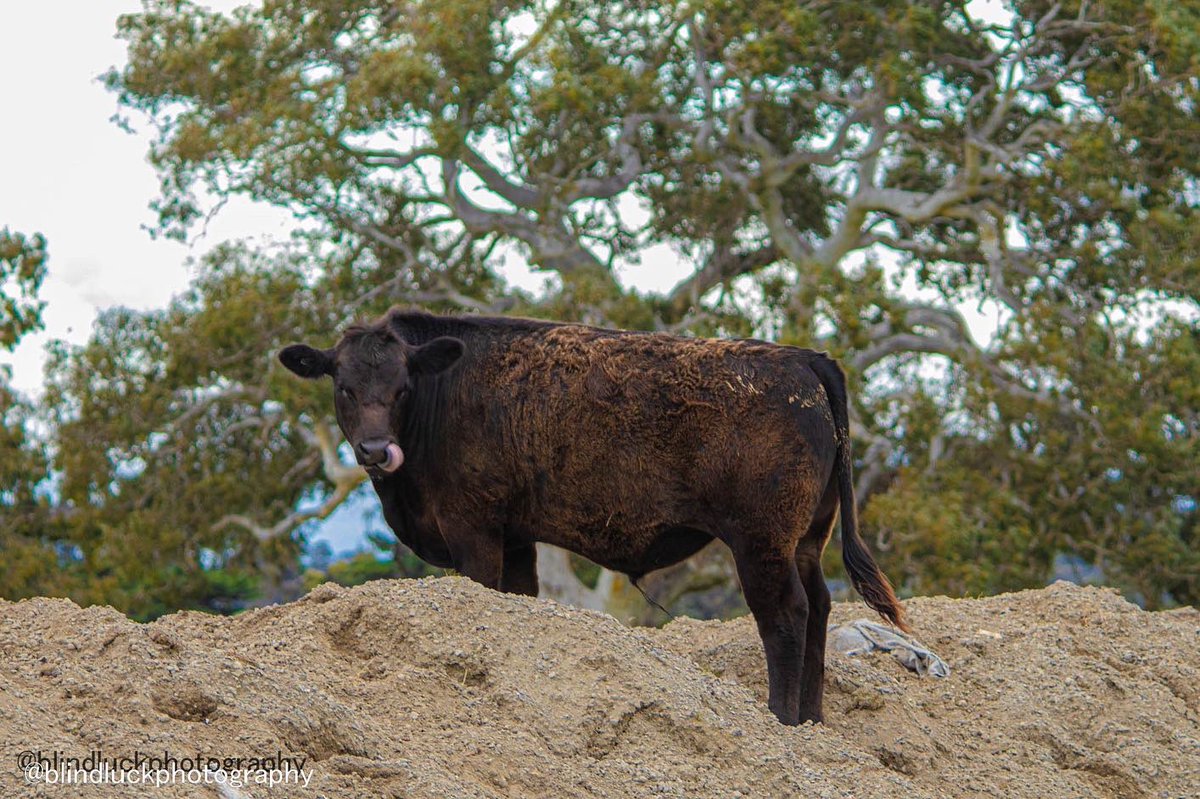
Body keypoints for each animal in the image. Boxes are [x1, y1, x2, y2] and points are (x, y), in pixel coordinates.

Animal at [279, 308, 907, 725]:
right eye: (344, 386)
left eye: (403, 386)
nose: (375, 450)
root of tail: (804, 358)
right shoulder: (515, 537)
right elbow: (518, 599)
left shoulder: (472, 530)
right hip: (806, 540)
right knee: (820, 606)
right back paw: (813, 720)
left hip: (762, 542)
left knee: (786, 615)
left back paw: (780, 718)